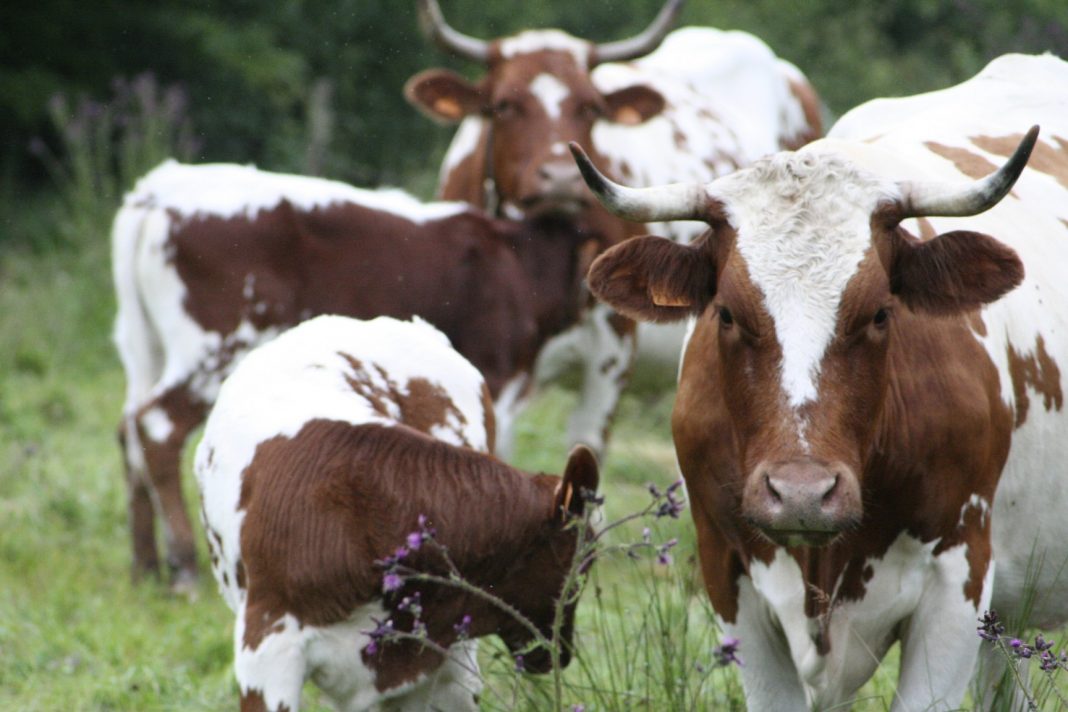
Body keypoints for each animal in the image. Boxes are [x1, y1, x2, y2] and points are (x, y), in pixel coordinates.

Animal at [113, 160, 597, 590]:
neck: (518, 259)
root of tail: (159, 189)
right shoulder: (495, 377)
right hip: (217, 347)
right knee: (156, 426)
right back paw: (182, 565)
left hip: (146, 351)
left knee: (129, 429)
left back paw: (145, 566)